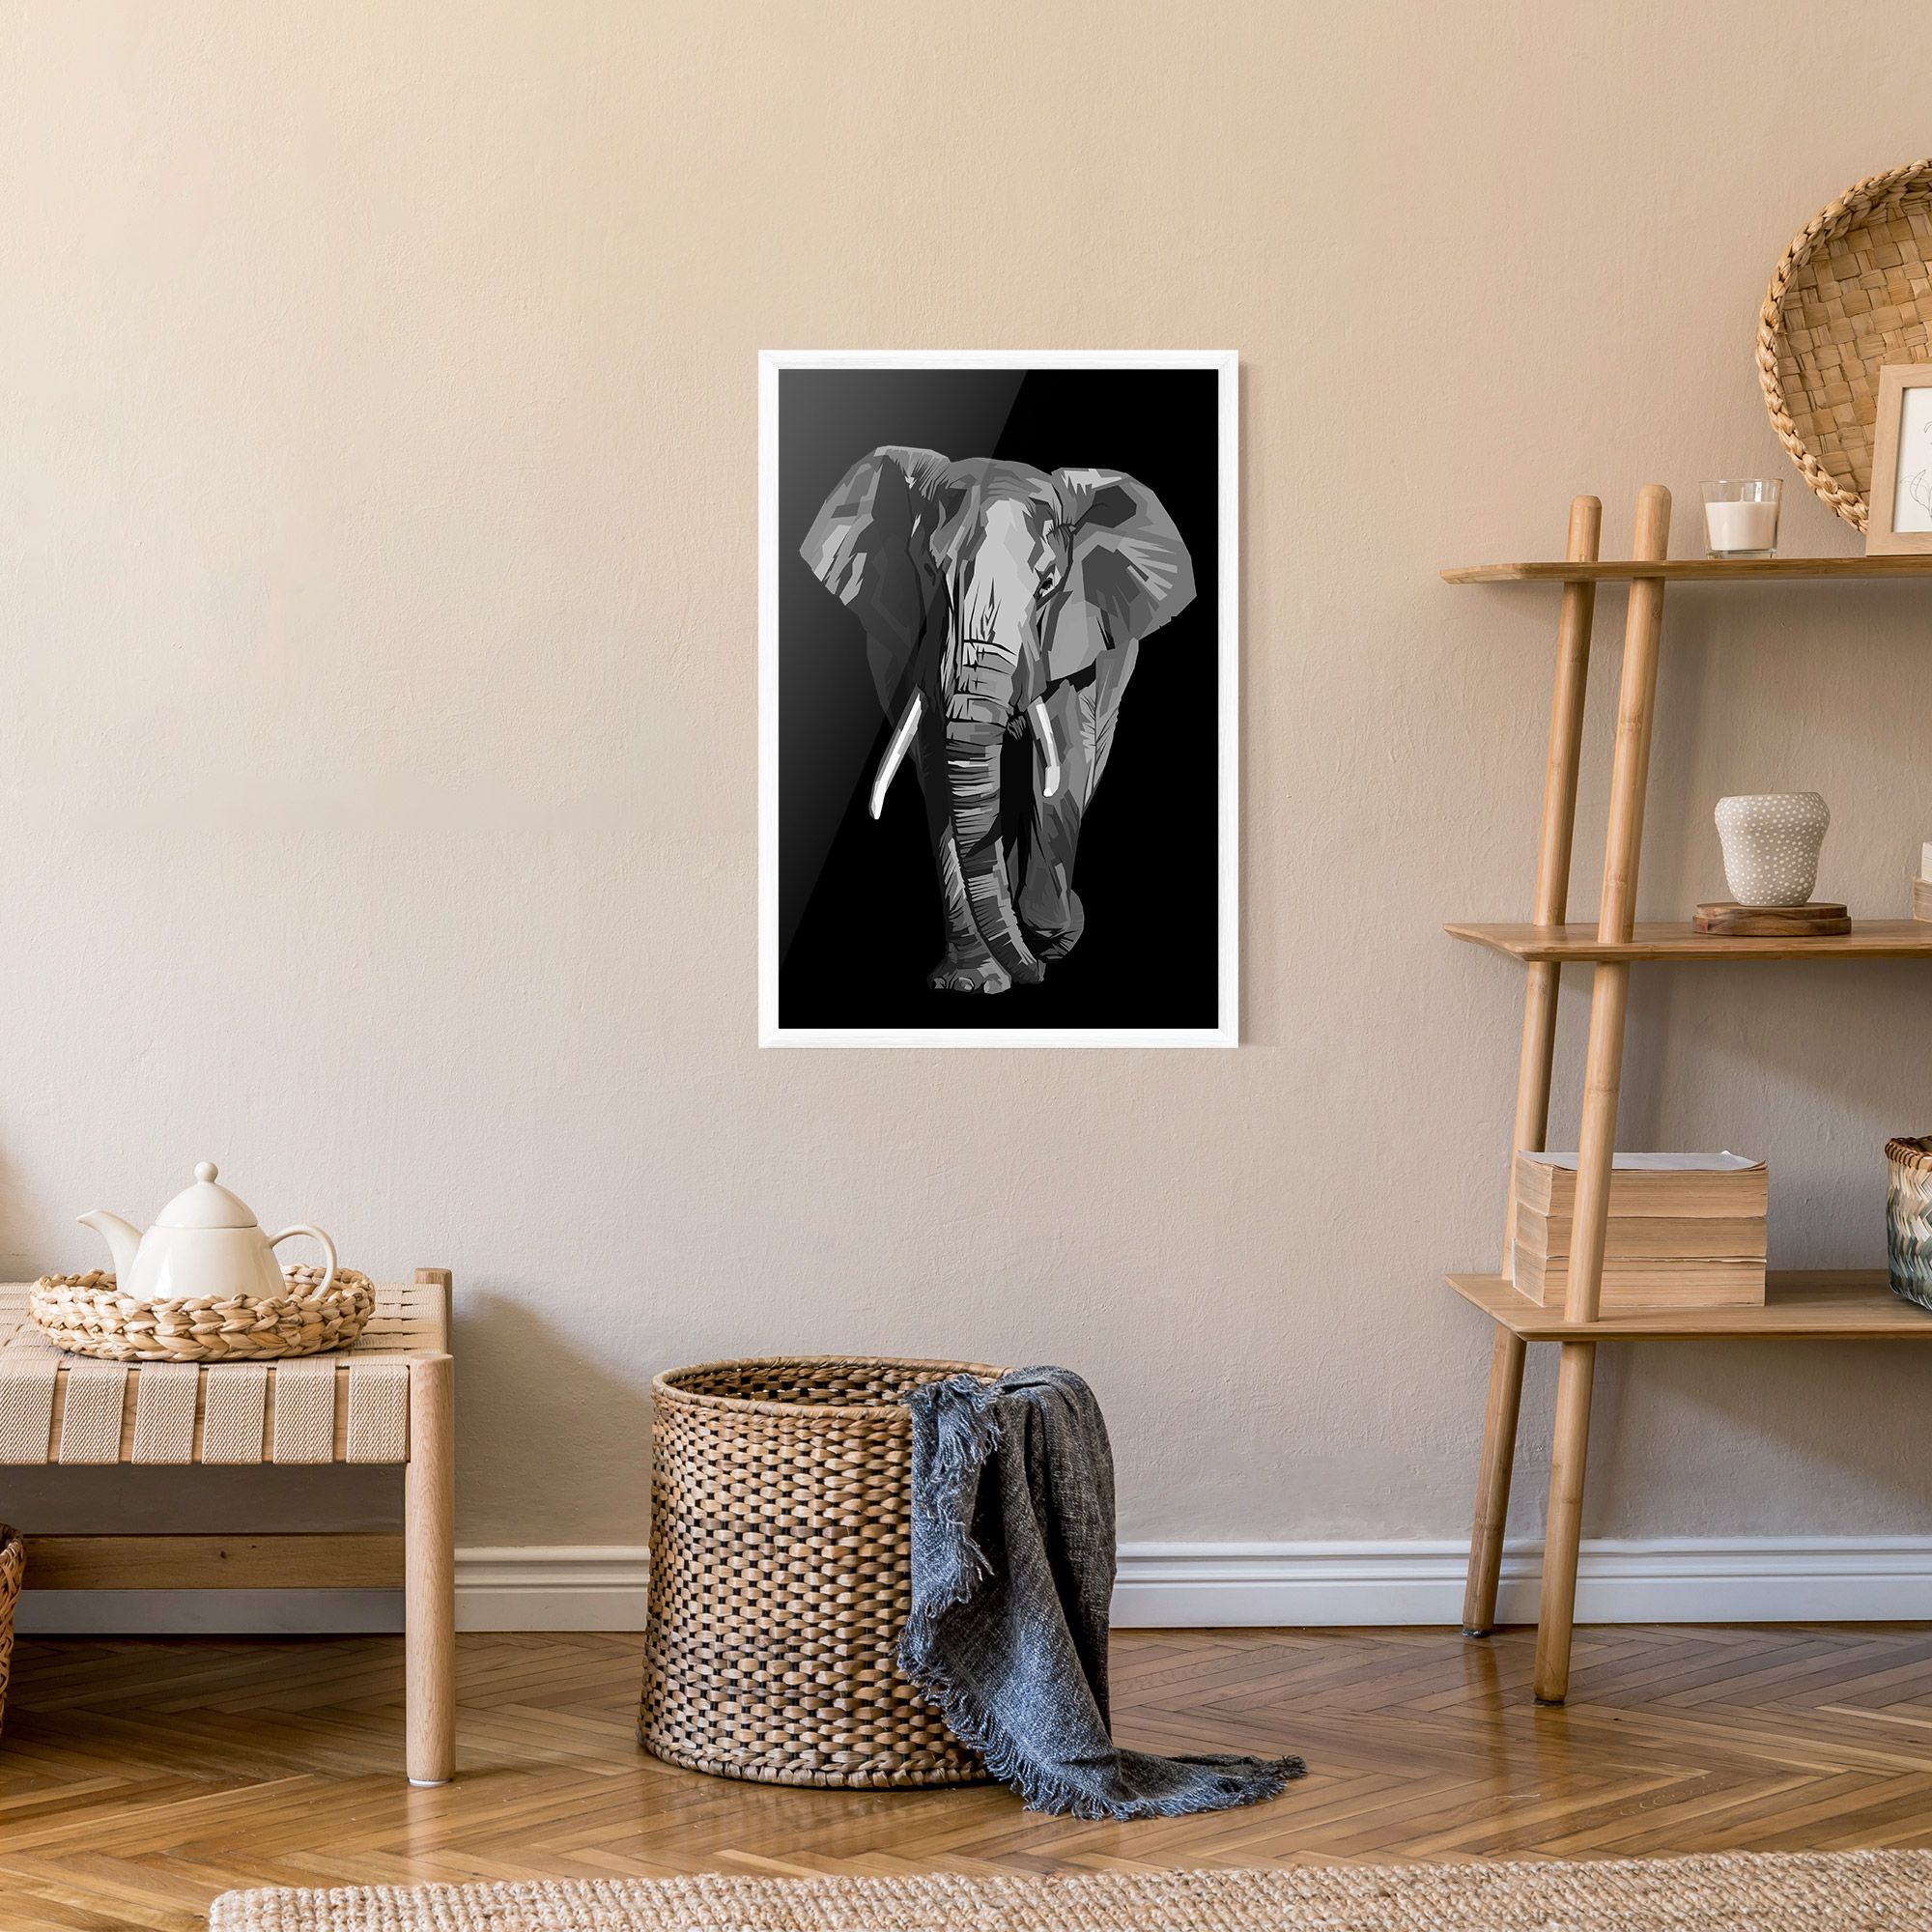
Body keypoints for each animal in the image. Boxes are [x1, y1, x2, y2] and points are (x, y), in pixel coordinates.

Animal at [801, 447, 1196, 995]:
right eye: (930, 571)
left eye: (1049, 585)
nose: (1041, 966)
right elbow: (938, 777)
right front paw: (971, 983)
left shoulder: (1072, 638)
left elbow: (1062, 762)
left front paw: (1049, 938)